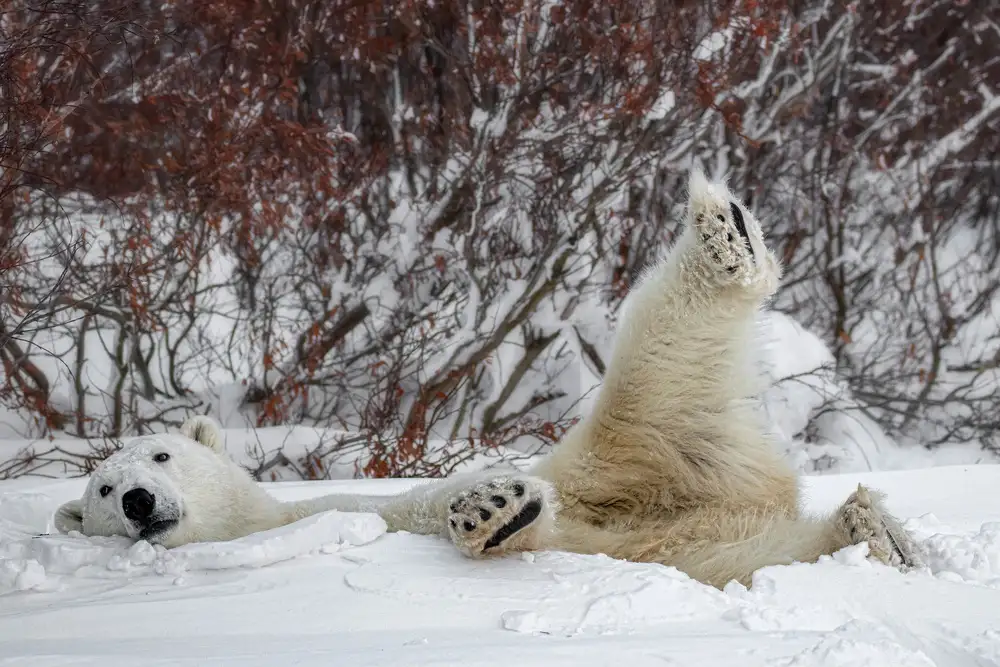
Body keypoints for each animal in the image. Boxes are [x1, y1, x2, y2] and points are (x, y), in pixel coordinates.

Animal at [55, 170, 918, 588]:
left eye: (161, 454)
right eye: (102, 489)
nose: (138, 500)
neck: (256, 523)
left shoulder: (364, 505)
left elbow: (424, 501)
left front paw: (491, 500)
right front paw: (498, 512)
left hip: (639, 450)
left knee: (651, 373)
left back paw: (722, 236)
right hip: (702, 534)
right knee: (761, 543)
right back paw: (875, 535)